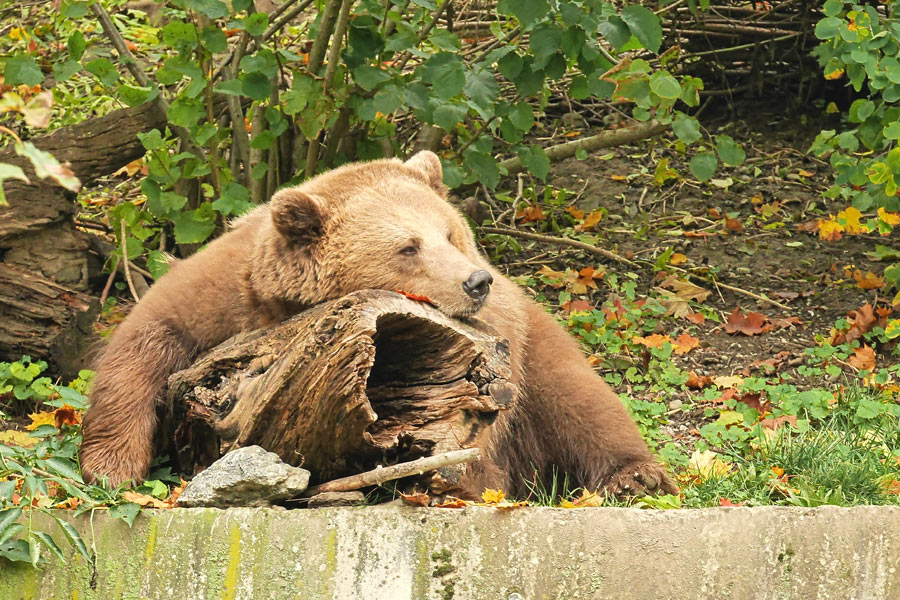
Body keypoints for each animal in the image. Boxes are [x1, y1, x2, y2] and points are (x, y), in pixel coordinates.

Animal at [82, 152, 676, 500]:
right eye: (407, 247)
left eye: (449, 233)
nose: (476, 281)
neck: (288, 309)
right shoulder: (222, 297)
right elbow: (145, 341)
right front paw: (112, 465)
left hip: (534, 344)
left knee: (580, 402)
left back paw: (636, 474)